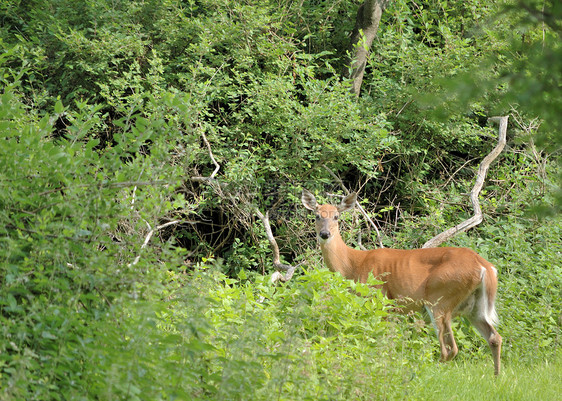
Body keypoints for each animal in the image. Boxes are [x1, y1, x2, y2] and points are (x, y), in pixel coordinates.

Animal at [304, 189, 500, 374]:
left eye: (336, 216)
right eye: (317, 215)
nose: (325, 234)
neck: (353, 265)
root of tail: (484, 266)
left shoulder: (378, 297)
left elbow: (379, 336)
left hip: (440, 297)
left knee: (449, 349)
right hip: (473, 306)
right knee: (494, 337)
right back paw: (496, 377)